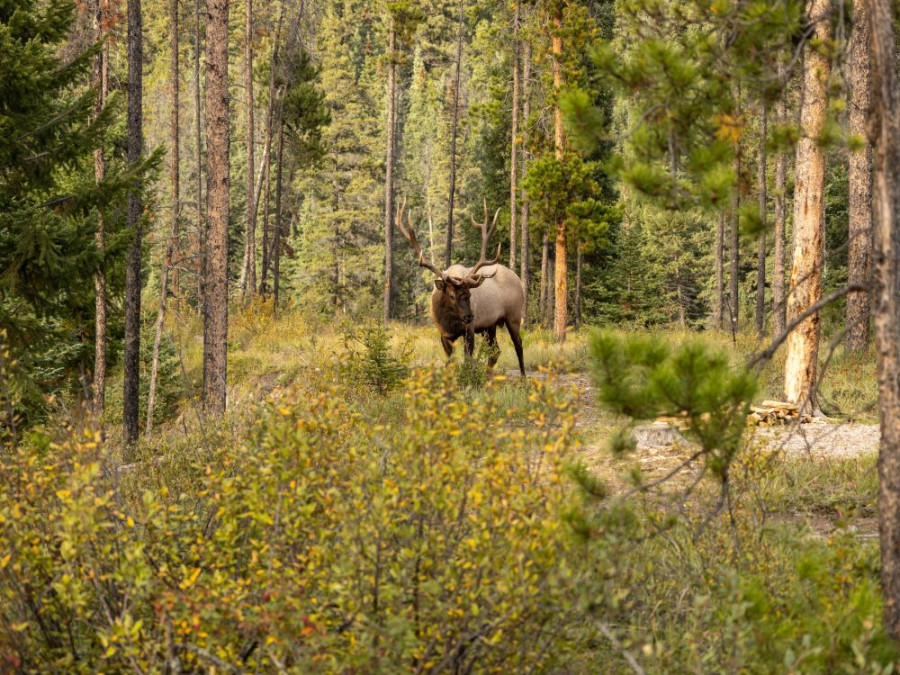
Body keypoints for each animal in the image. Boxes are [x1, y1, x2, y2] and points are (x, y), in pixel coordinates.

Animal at [396, 198, 528, 378]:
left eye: (470, 295)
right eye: (452, 295)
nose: (469, 316)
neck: (449, 320)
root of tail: (518, 279)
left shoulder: (469, 331)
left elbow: (468, 361)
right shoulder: (444, 334)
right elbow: (450, 363)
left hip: (513, 315)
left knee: (518, 345)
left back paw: (523, 377)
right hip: (490, 325)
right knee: (495, 351)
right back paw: (488, 376)